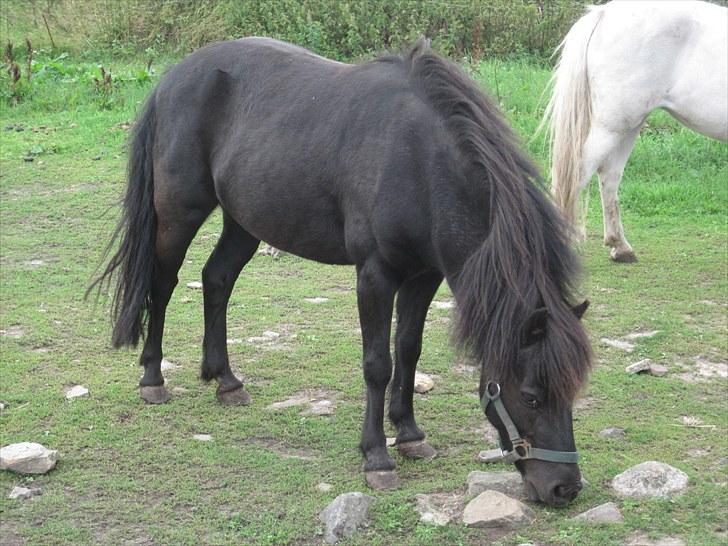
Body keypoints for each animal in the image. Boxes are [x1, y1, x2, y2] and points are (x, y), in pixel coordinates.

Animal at [92, 38, 592, 506]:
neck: (418, 159)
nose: (564, 488)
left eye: (573, 391)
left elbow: (408, 350)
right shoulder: (375, 275)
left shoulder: (423, 276)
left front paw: (410, 434)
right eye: (531, 395)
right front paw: (377, 457)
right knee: (162, 284)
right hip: (180, 213)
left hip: (243, 221)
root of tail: (172, 79)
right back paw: (152, 379)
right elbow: (377, 364)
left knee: (217, 279)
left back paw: (226, 381)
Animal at [544, 0, 724, 260]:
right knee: (574, 177)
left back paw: (620, 247)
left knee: (609, 176)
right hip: (612, 126)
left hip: (628, 125)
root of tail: (604, 13)